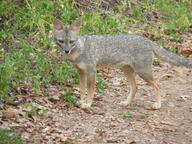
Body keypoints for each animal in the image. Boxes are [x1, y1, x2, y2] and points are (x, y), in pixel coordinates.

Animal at [51, 18, 192, 109]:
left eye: (72, 41)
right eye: (61, 41)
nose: (66, 51)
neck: (80, 48)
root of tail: (148, 40)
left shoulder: (91, 71)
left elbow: (90, 90)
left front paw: (88, 104)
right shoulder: (81, 72)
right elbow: (81, 90)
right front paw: (81, 102)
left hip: (143, 73)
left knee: (157, 85)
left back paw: (157, 105)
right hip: (127, 71)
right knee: (135, 87)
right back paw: (127, 103)